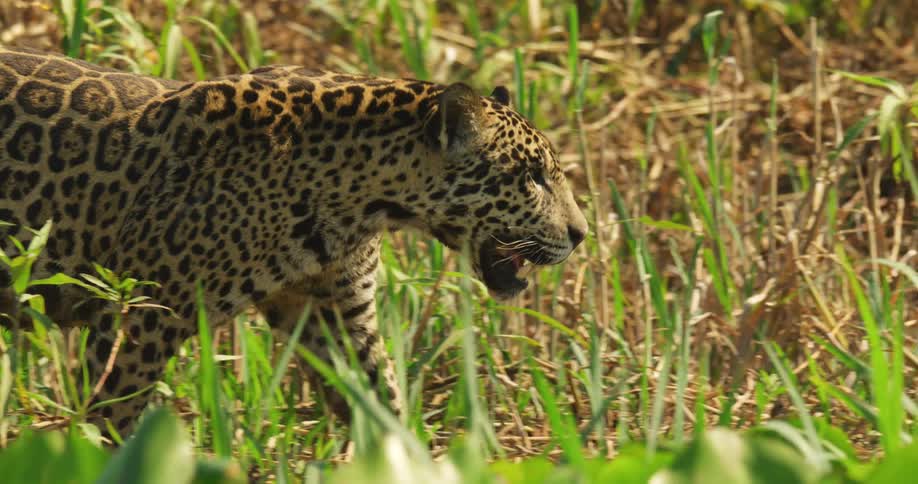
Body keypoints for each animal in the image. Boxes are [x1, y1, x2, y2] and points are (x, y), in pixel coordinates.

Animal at [0, 46, 588, 436]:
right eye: (532, 176)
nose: (582, 234)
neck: (357, 202)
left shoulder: (338, 314)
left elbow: (383, 405)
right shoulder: (138, 315)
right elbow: (110, 421)